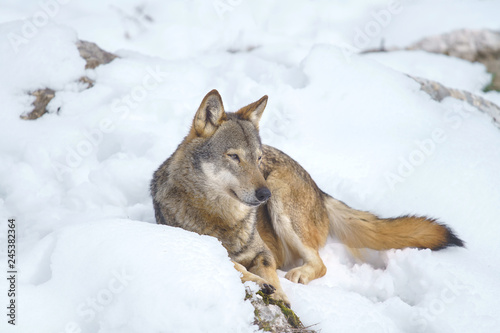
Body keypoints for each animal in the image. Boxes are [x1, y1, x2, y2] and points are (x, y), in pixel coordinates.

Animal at [149, 89, 464, 304]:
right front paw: (259, 283)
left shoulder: (264, 254)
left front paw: (279, 294)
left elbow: (268, 274)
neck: (224, 221)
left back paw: (298, 275)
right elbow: (234, 264)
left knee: (320, 264)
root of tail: (320, 191)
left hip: (282, 201)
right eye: (234, 157)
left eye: (257, 158)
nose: (263, 193)